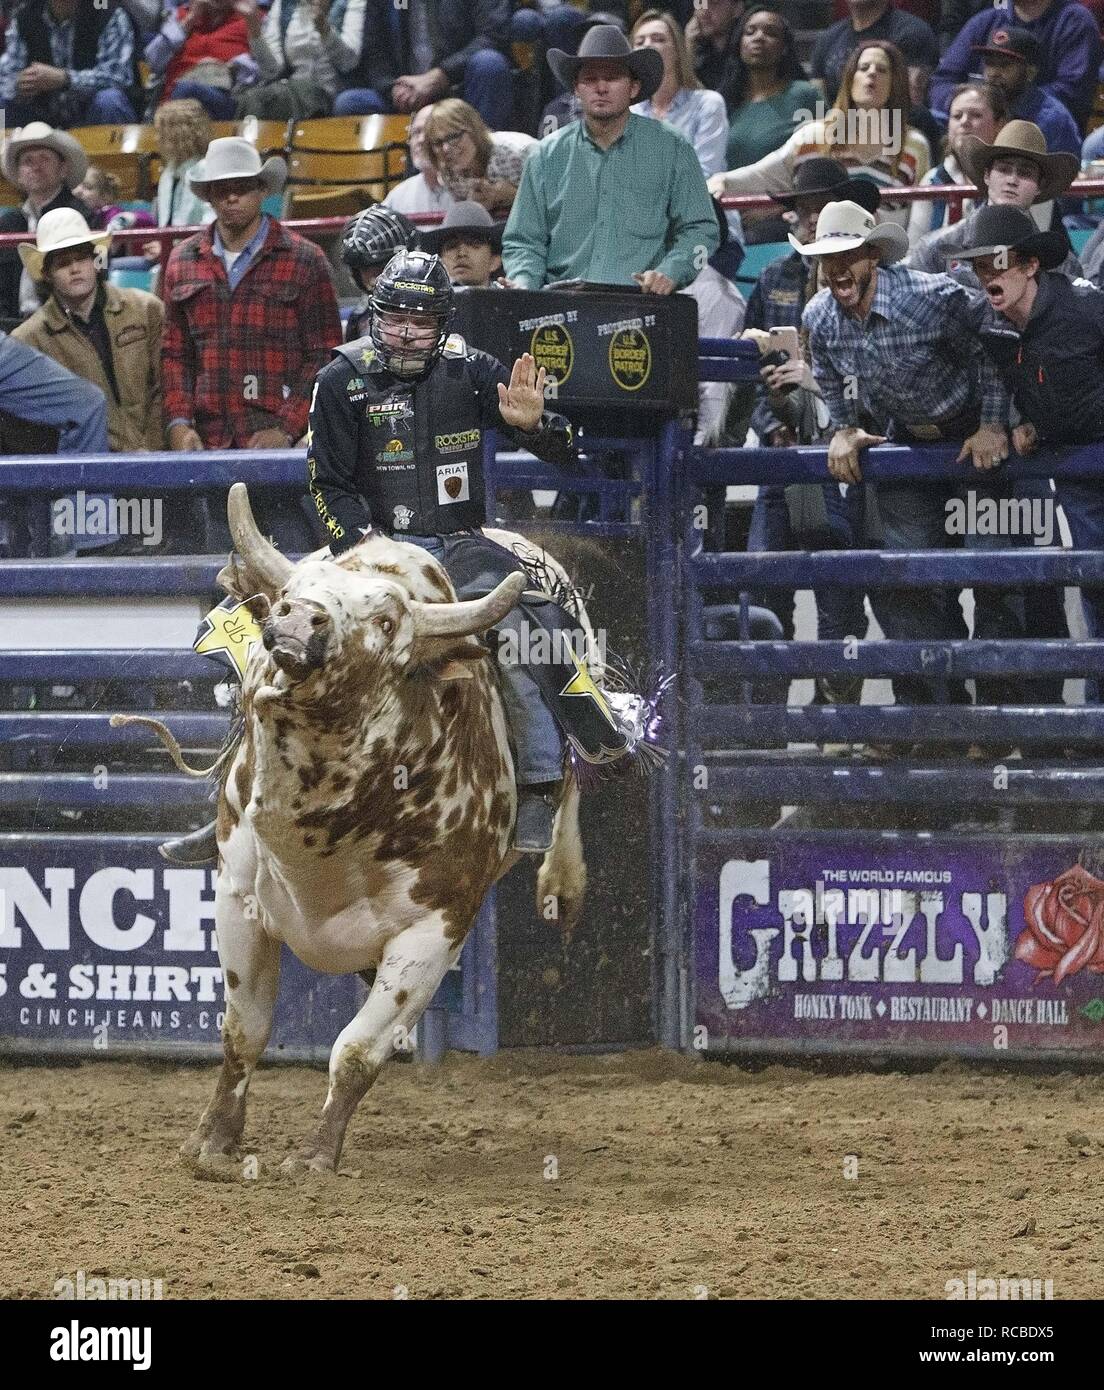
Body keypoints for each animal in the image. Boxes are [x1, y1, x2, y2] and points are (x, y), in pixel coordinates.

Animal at [124, 483, 589, 1178]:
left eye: (388, 623)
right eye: (291, 592)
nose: (298, 618)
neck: (321, 835)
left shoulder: (432, 931)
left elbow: (358, 1051)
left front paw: (316, 1156)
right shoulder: (238, 898)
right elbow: (244, 1029)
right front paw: (212, 1143)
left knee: (577, 776)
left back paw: (562, 877)